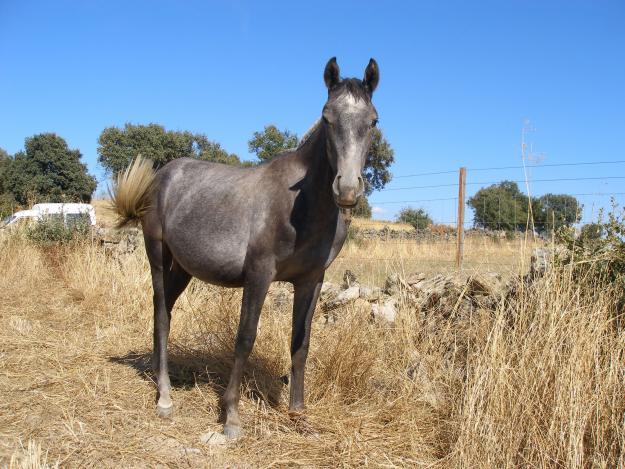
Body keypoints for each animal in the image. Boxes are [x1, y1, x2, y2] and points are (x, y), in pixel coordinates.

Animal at [111, 58, 380, 438]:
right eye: (326, 117)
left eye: (373, 121)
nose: (347, 190)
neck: (301, 206)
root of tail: (162, 175)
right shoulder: (259, 275)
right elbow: (245, 338)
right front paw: (232, 417)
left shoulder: (311, 281)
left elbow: (301, 343)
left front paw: (298, 414)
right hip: (158, 257)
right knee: (162, 315)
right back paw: (164, 397)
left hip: (183, 268)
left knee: (165, 313)